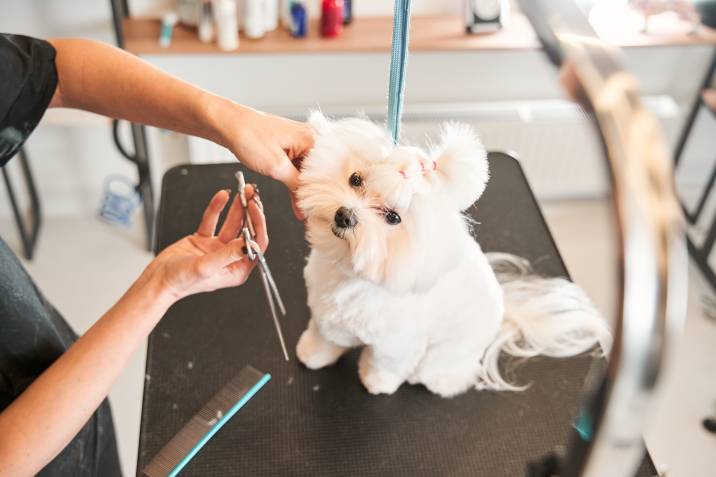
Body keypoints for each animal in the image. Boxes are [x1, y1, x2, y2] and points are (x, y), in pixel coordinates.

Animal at [294, 112, 608, 398]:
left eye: (393, 217)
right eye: (356, 179)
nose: (344, 215)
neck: (347, 272)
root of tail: (505, 312)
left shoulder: (398, 345)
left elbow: (385, 365)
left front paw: (376, 383)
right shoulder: (326, 314)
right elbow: (324, 337)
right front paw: (312, 353)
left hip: (448, 352)